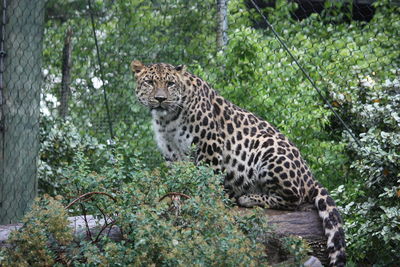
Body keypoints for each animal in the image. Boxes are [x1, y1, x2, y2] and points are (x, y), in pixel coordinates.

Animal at [131, 60, 346, 267]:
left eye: (170, 83)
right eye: (150, 82)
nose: (160, 98)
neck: (167, 119)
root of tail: (309, 173)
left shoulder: (209, 145)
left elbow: (207, 181)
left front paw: (203, 204)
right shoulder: (172, 154)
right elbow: (178, 180)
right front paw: (175, 200)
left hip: (268, 148)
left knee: (294, 197)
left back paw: (247, 198)